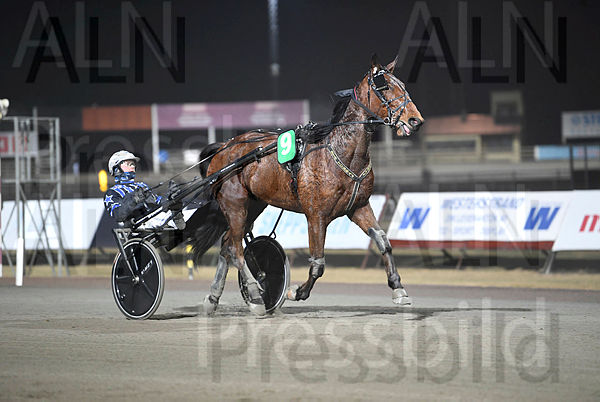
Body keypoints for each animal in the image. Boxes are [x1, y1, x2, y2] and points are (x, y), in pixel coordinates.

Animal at [192, 55, 424, 316]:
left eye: (403, 85)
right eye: (385, 87)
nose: (415, 120)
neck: (341, 154)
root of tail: (224, 147)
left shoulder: (359, 207)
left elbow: (384, 242)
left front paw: (398, 289)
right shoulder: (316, 215)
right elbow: (318, 263)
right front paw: (296, 292)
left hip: (254, 205)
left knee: (226, 244)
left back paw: (212, 299)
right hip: (235, 205)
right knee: (235, 249)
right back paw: (254, 292)